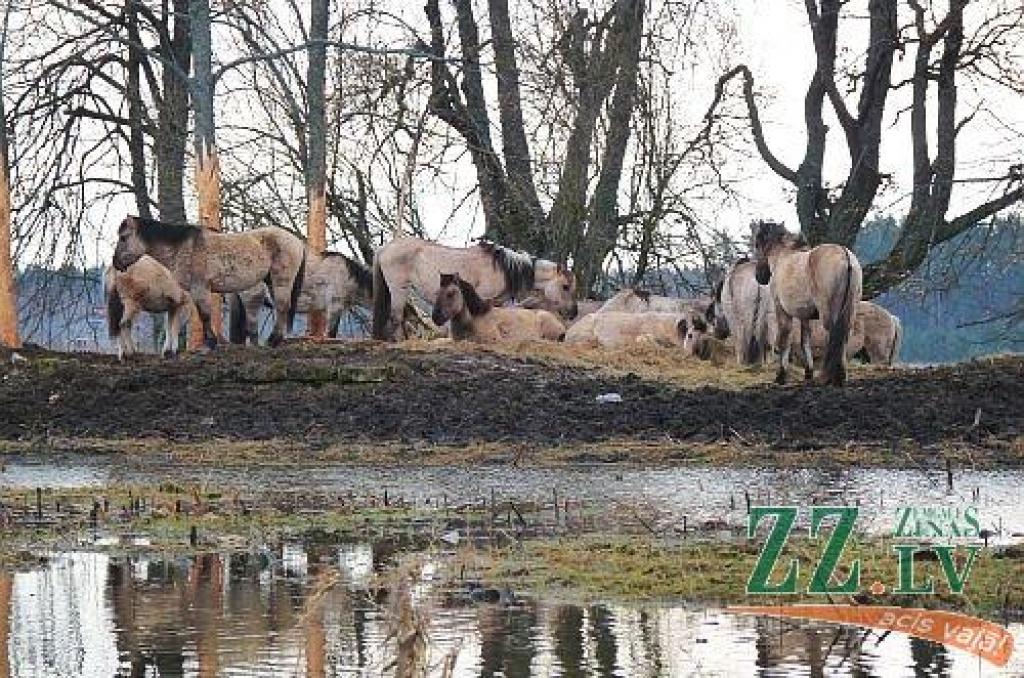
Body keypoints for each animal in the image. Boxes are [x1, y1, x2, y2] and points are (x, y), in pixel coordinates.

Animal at [112, 216, 305, 350]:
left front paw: (210, 343)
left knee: (282, 307)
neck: (185, 247)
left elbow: (204, 314)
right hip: (271, 282)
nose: (116, 263)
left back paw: (274, 340)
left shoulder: (200, 288)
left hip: (281, 280)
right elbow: (201, 314)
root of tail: (296, 241)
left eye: (123, 237)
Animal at [753, 220, 864, 385]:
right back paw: (841, 375)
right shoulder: (805, 316)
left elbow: (784, 340)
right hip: (850, 310)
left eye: (756, 243)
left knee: (832, 336)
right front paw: (808, 373)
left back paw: (827, 376)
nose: (760, 276)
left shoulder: (782, 311)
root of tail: (845, 256)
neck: (782, 258)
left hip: (829, 313)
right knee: (844, 336)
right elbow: (805, 341)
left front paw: (781, 376)